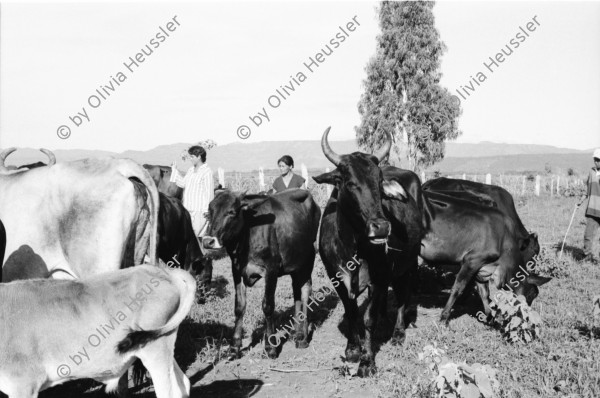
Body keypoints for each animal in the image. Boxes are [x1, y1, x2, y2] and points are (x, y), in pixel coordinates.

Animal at [202, 188, 322, 360]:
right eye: (209, 212)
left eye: (231, 212)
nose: (208, 241)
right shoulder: (236, 270)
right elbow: (239, 306)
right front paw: (234, 347)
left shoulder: (271, 270)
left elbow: (268, 306)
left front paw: (270, 347)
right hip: (294, 264)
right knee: (297, 293)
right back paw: (296, 332)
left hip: (308, 259)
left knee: (305, 292)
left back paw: (302, 338)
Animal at [312, 127, 424, 376]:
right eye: (349, 182)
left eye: (379, 182)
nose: (381, 226)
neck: (353, 246)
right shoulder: (337, 279)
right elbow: (352, 314)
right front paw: (353, 349)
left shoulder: (378, 280)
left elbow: (368, 319)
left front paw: (367, 361)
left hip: (409, 263)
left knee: (403, 295)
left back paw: (398, 333)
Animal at [420, 189, 552, 324]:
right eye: (531, 294)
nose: (526, 318)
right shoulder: (472, 260)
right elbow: (458, 288)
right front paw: (444, 317)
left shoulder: (481, 267)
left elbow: (484, 293)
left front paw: (490, 318)